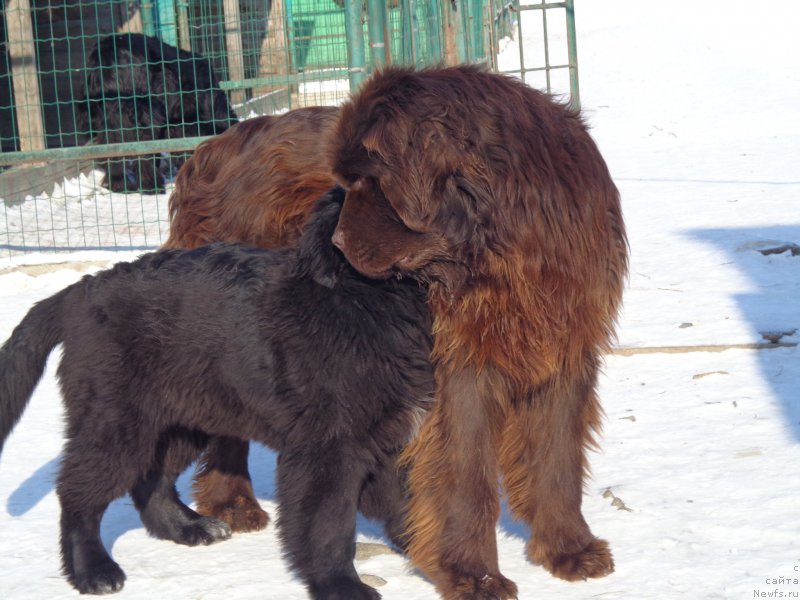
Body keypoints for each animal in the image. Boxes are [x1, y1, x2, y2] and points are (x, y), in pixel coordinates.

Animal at [0, 188, 432, 600]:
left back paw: (187, 527)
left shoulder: (389, 435)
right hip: (116, 421)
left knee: (151, 481)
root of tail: (81, 289)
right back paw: (93, 571)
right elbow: (329, 522)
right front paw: (340, 585)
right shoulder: (328, 447)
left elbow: (408, 504)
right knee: (78, 494)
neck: (365, 300)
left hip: (183, 415)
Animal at [77, 33, 234, 192]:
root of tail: (105, 55)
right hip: (143, 111)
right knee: (143, 149)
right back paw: (151, 186)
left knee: (113, 148)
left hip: (105, 114)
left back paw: (119, 185)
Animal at [328, 63, 628, 596]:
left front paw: (569, 549)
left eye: (369, 180)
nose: (336, 241)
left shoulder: (565, 352)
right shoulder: (461, 369)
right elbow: (467, 475)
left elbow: (557, 457)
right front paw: (473, 575)